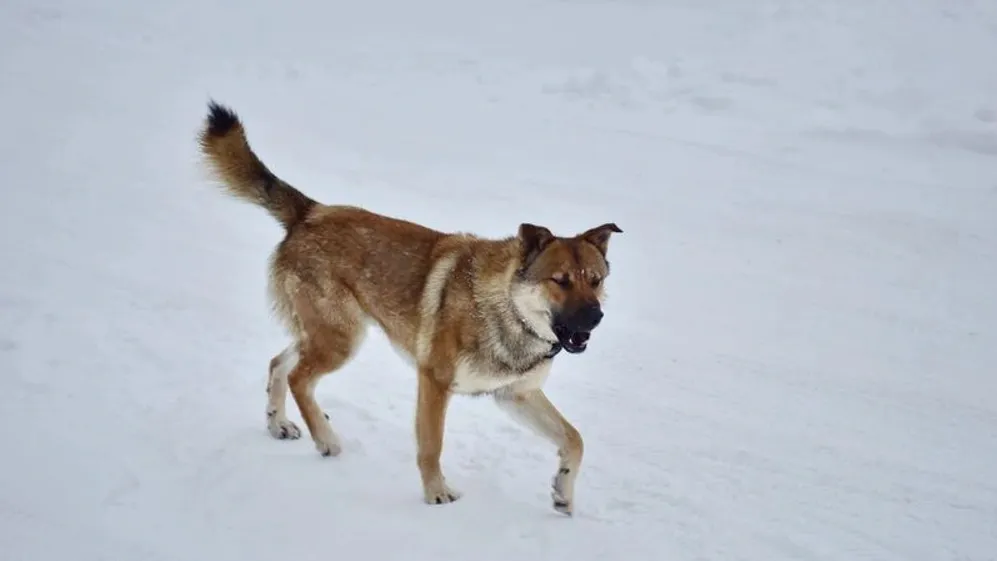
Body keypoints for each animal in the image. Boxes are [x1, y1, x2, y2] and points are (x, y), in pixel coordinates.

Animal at [196, 101, 624, 516]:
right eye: (560, 281)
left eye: (595, 280)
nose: (596, 318)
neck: (506, 308)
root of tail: (311, 212)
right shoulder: (434, 381)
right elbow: (432, 446)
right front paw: (436, 494)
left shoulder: (515, 395)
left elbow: (575, 439)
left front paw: (563, 494)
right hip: (341, 339)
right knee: (300, 377)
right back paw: (326, 439)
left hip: (327, 333)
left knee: (279, 364)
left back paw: (279, 425)